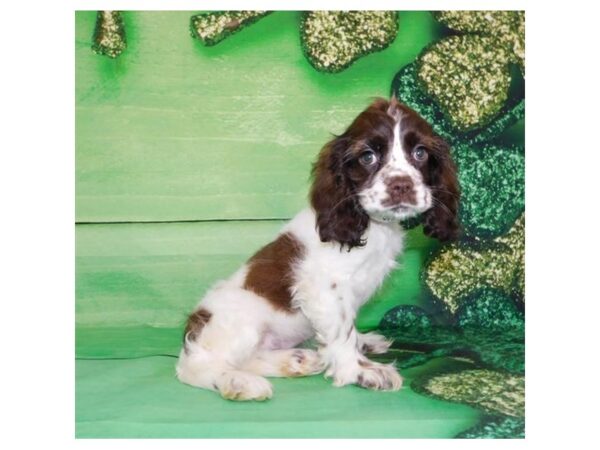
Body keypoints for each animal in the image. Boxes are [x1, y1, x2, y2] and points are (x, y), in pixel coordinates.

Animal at [175, 96, 460, 400]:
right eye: (368, 157)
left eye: (420, 153)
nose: (401, 185)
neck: (373, 226)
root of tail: (195, 321)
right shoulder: (324, 288)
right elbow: (342, 332)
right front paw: (360, 371)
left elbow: (349, 326)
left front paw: (362, 342)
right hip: (241, 322)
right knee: (195, 366)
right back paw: (237, 382)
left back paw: (296, 360)